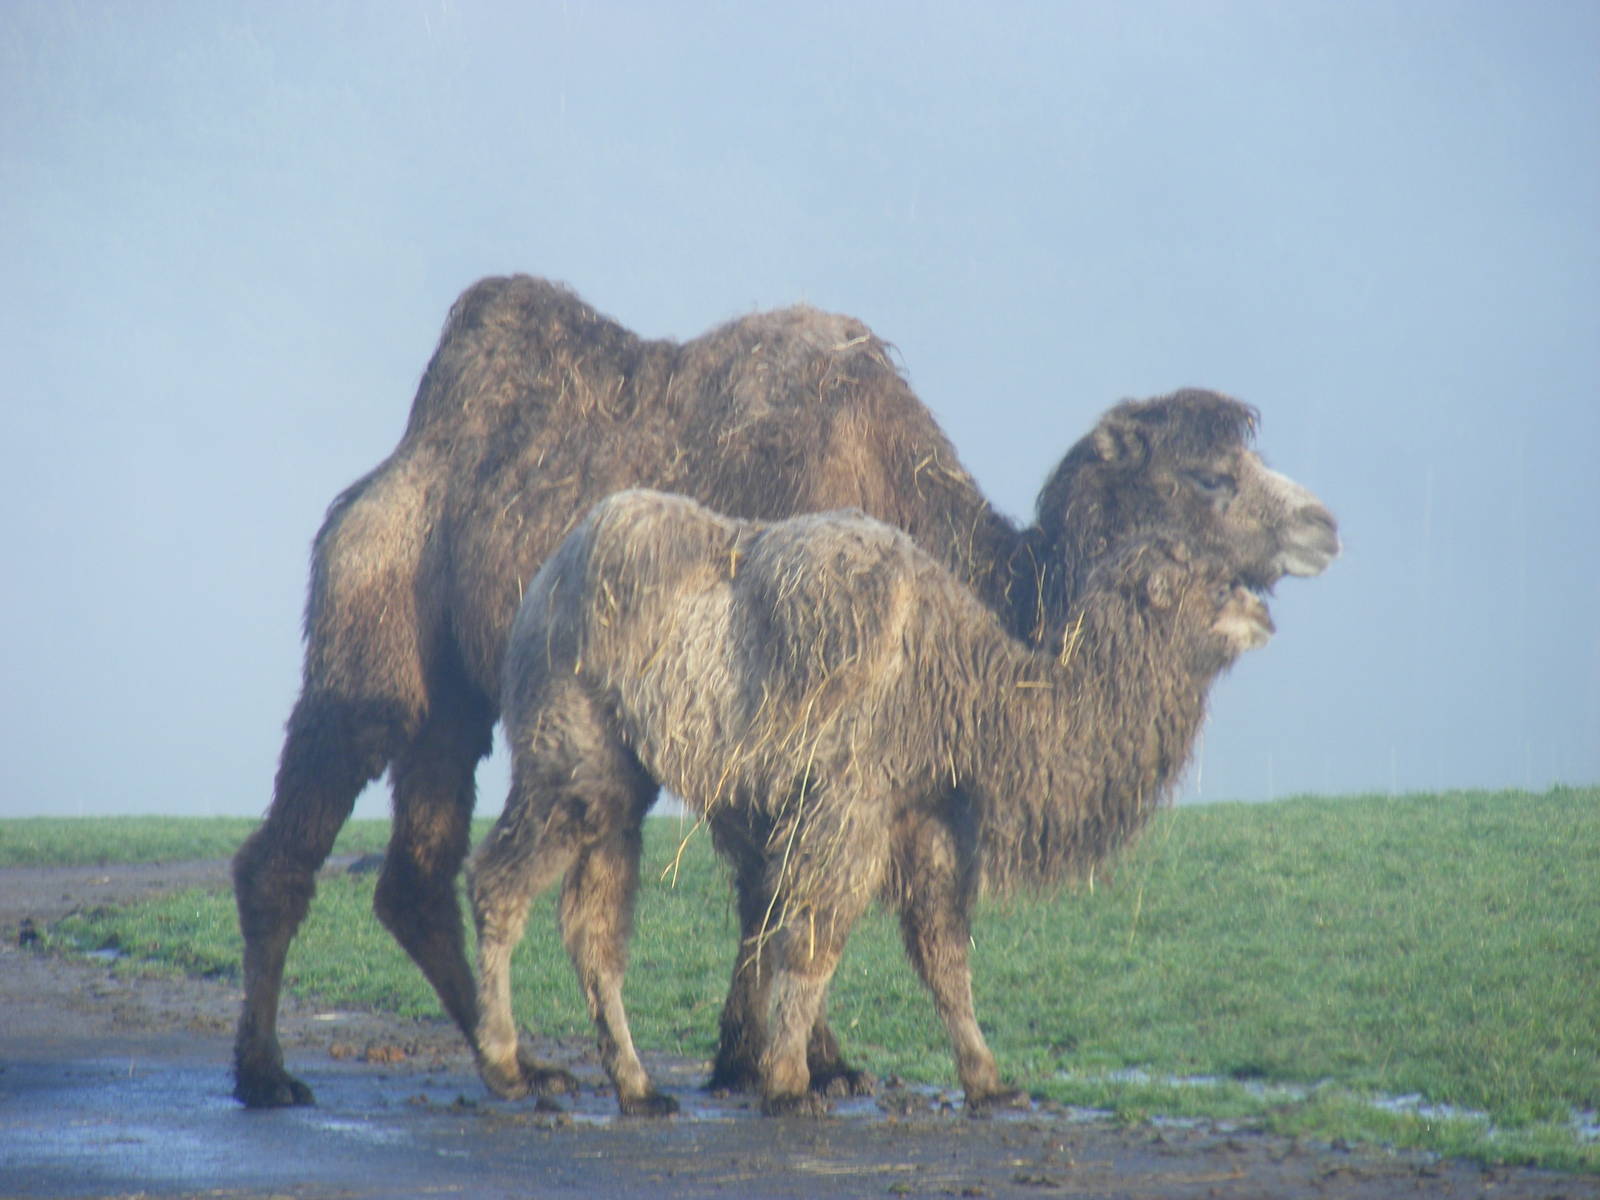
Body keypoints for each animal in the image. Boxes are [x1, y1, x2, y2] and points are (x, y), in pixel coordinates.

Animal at [470, 491, 1282, 1114]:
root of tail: (549, 573)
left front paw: (989, 1081)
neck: (967, 690)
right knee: (502, 880)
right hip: (567, 735)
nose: (1266, 614)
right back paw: (507, 1063)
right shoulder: (848, 798)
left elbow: (942, 949)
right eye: (1216, 582)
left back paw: (637, 1087)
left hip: (619, 771)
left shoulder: (926, 813)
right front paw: (790, 1081)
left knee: (593, 923)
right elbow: (815, 932)